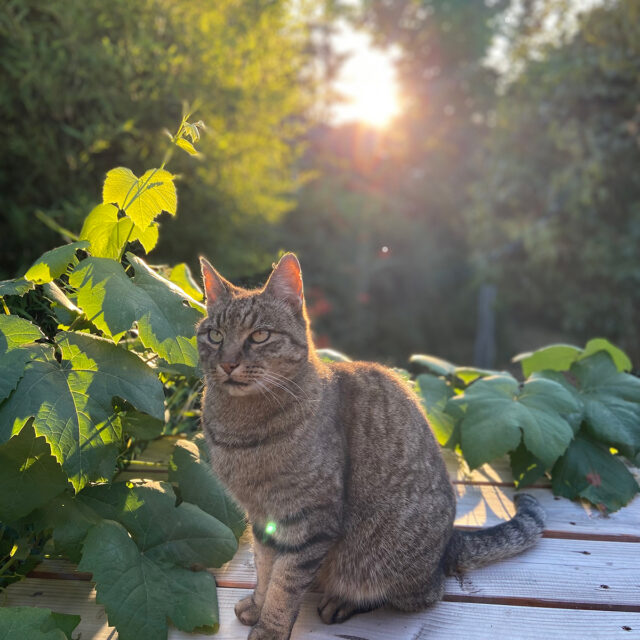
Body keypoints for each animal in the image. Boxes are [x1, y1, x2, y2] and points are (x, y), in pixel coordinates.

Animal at [196, 252, 544, 640]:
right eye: (214, 335)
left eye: (259, 335)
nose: (227, 363)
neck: (241, 427)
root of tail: (447, 545)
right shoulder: (263, 518)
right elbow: (264, 566)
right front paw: (257, 604)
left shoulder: (310, 520)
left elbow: (285, 584)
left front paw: (269, 628)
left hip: (388, 562)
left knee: (421, 594)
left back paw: (343, 601)